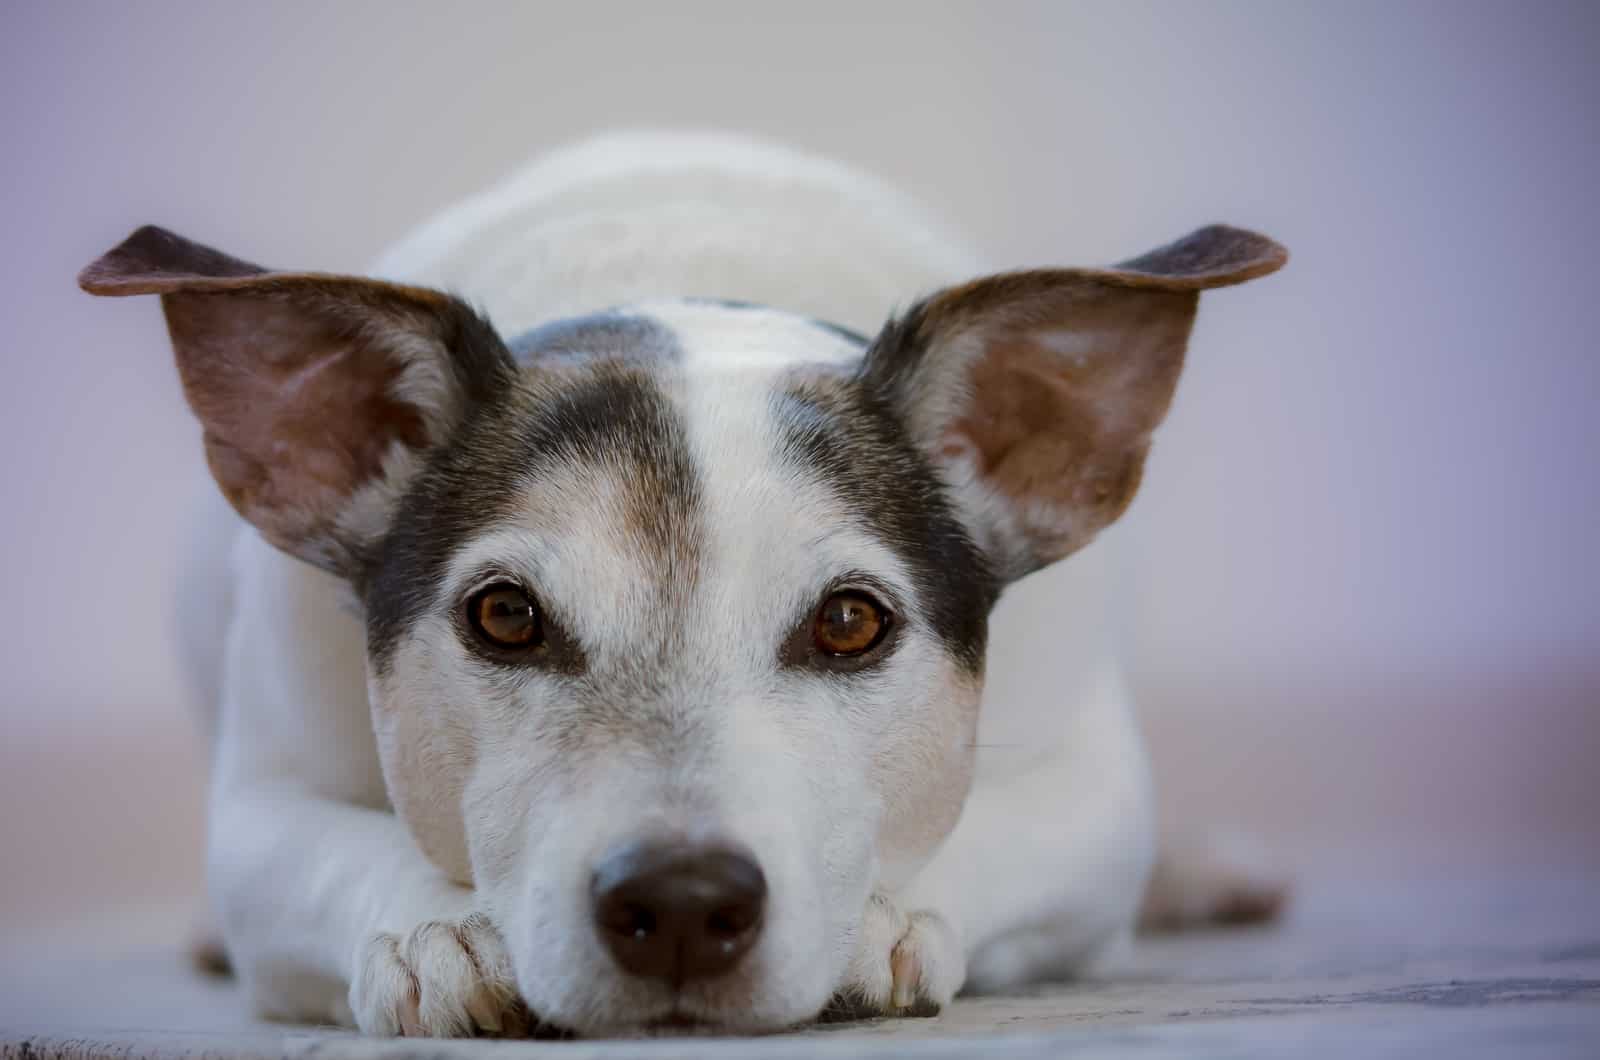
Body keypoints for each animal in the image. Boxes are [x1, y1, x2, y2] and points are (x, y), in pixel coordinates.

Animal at [81, 130, 1292, 1037]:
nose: (677, 902)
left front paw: (878, 919)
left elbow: (994, 828)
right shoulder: (262, 800)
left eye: (850, 622)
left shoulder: (1093, 788)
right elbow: (329, 850)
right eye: (503, 615)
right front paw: (442, 930)